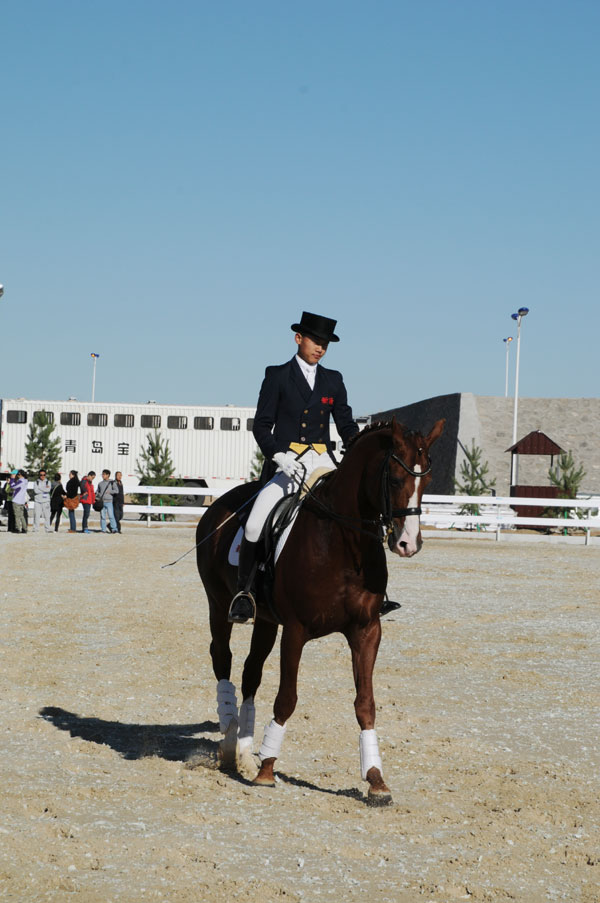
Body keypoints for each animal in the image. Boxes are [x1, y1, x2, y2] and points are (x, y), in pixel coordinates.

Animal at [195, 416, 442, 804]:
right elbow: (287, 698)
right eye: (395, 479)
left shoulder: (367, 630)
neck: (343, 542)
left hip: (266, 621)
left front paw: (376, 780)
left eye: (427, 481)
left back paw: (246, 752)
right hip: (219, 606)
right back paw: (231, 737)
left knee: (251, 672)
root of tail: (218, 506)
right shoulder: (296, 631)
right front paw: (267, 771)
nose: (408, 544)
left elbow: (365, 704)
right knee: (223, 659)